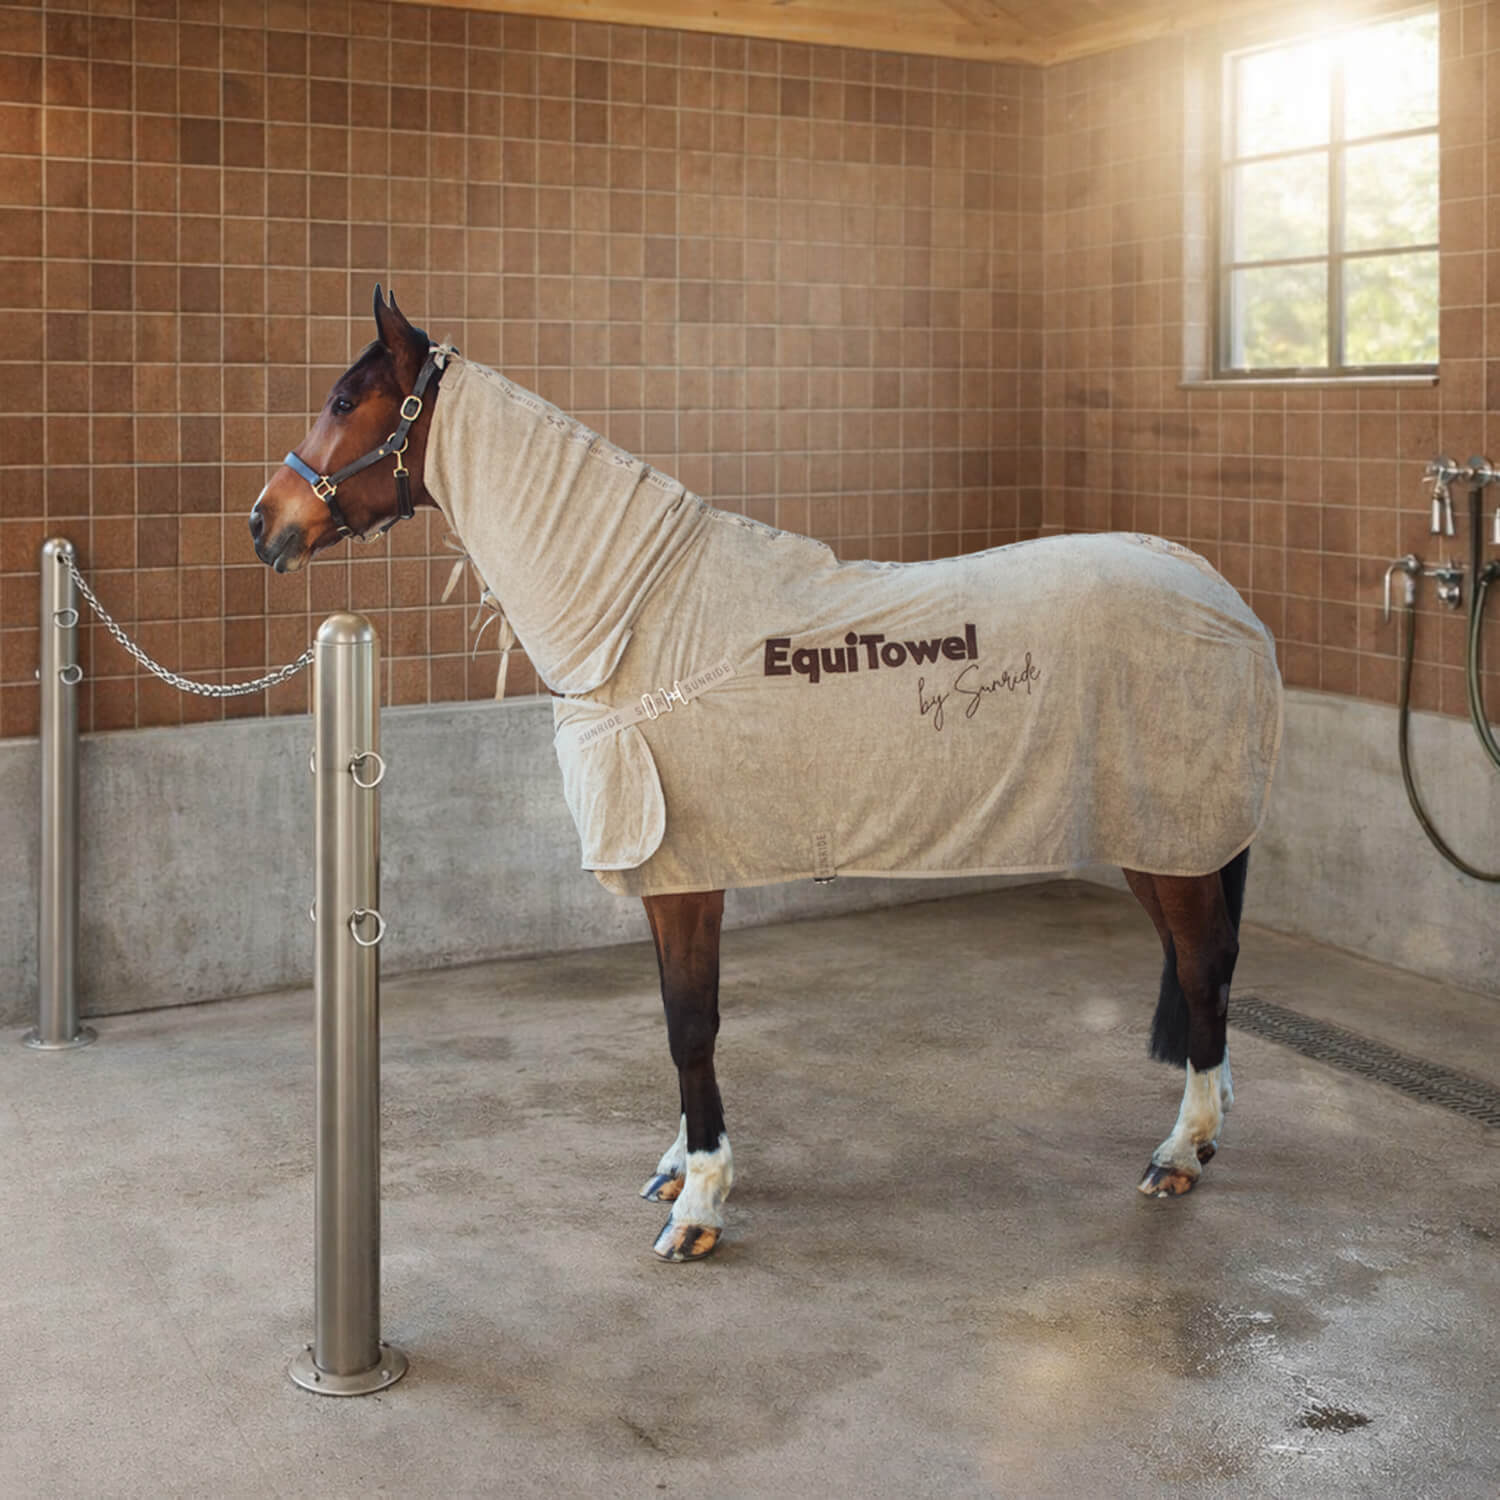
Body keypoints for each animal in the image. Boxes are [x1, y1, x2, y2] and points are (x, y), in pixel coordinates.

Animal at [250, 288, 1282, 1262]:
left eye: (344, 400)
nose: (266, 522)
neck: (641, 618)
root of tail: (1224, 596)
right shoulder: (672, 869)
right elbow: (679, 1020)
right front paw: (679, 1170)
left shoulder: (686, 876)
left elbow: (689, 1026)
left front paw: (701, 1205)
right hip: (1161, 837)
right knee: (1206, 969)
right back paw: (1208, 1124)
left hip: (1172, 836)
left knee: (1204, 969)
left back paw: (1180, 1153)